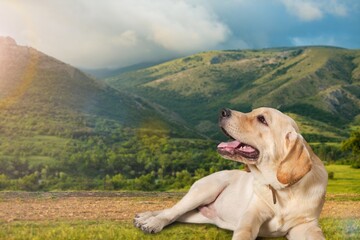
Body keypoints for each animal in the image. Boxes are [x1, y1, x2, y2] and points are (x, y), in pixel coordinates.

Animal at [134, 108, 328, 239]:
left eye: (262, 119)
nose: (223, 111)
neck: (284, 191)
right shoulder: (252, 214)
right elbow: (245, 231)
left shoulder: (306, 226)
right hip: (205, 190)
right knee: (172, 211)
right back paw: (149, 221)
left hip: (199, 215)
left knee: (178, 214)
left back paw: (145, 218)